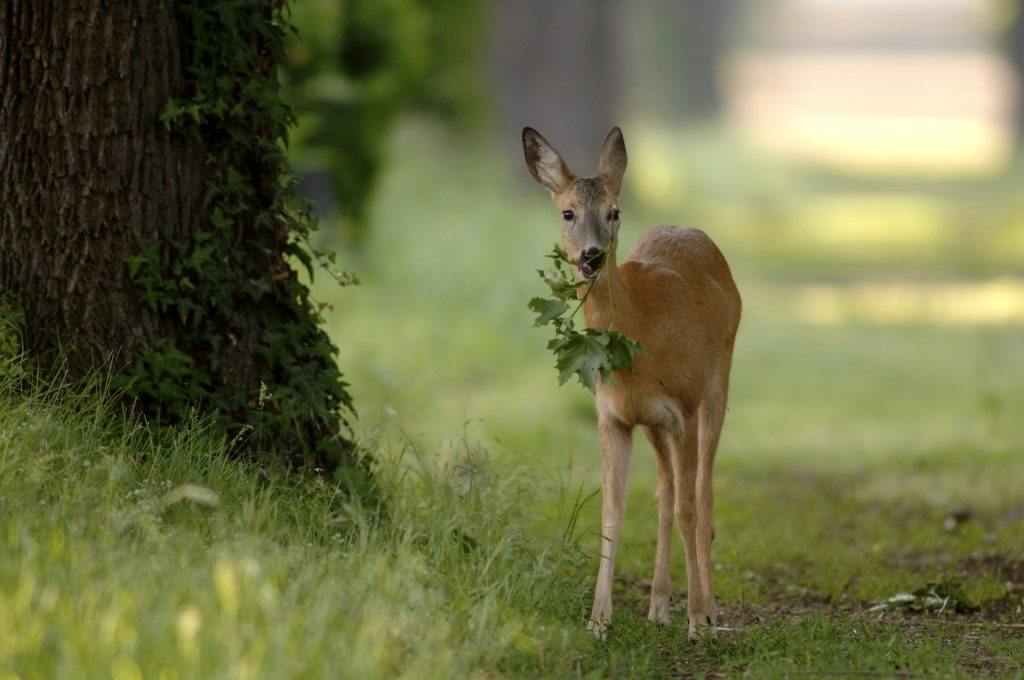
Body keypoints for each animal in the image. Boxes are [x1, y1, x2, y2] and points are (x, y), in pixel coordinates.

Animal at [524, 125, 741, 639]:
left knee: (701, 496)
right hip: (653, 425)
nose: (592, 255)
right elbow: (613, 511)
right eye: (567, 212)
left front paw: (698, 620)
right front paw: (598, 620)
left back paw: (708, 610)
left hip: (717, 383)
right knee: (666, 490)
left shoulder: (683, 407)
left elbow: (688, 509)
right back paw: (658, 606)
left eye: (614, 212)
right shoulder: (614, 416)